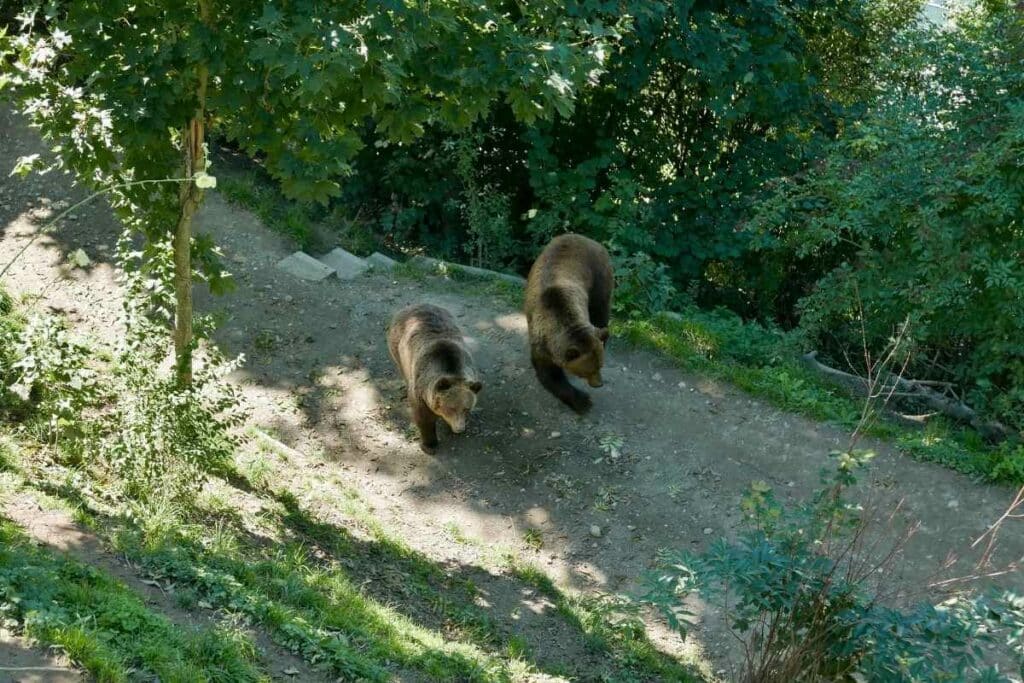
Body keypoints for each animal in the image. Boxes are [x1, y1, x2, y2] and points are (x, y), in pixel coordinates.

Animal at [387, 305, 483, 454]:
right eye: (451, 408)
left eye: (466, 408)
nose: (460, 429)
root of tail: (416, 305)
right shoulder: (421, 393)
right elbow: (424, 419)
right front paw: (429, 444)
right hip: (398, 347)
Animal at [524, 232, 610, 413]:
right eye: (588, 371)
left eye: (600, 365)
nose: (599, 384)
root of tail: (585, 238)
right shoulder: (541, 340)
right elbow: (549, 373)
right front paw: (583, 401)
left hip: (599, 276)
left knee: (601, 310)